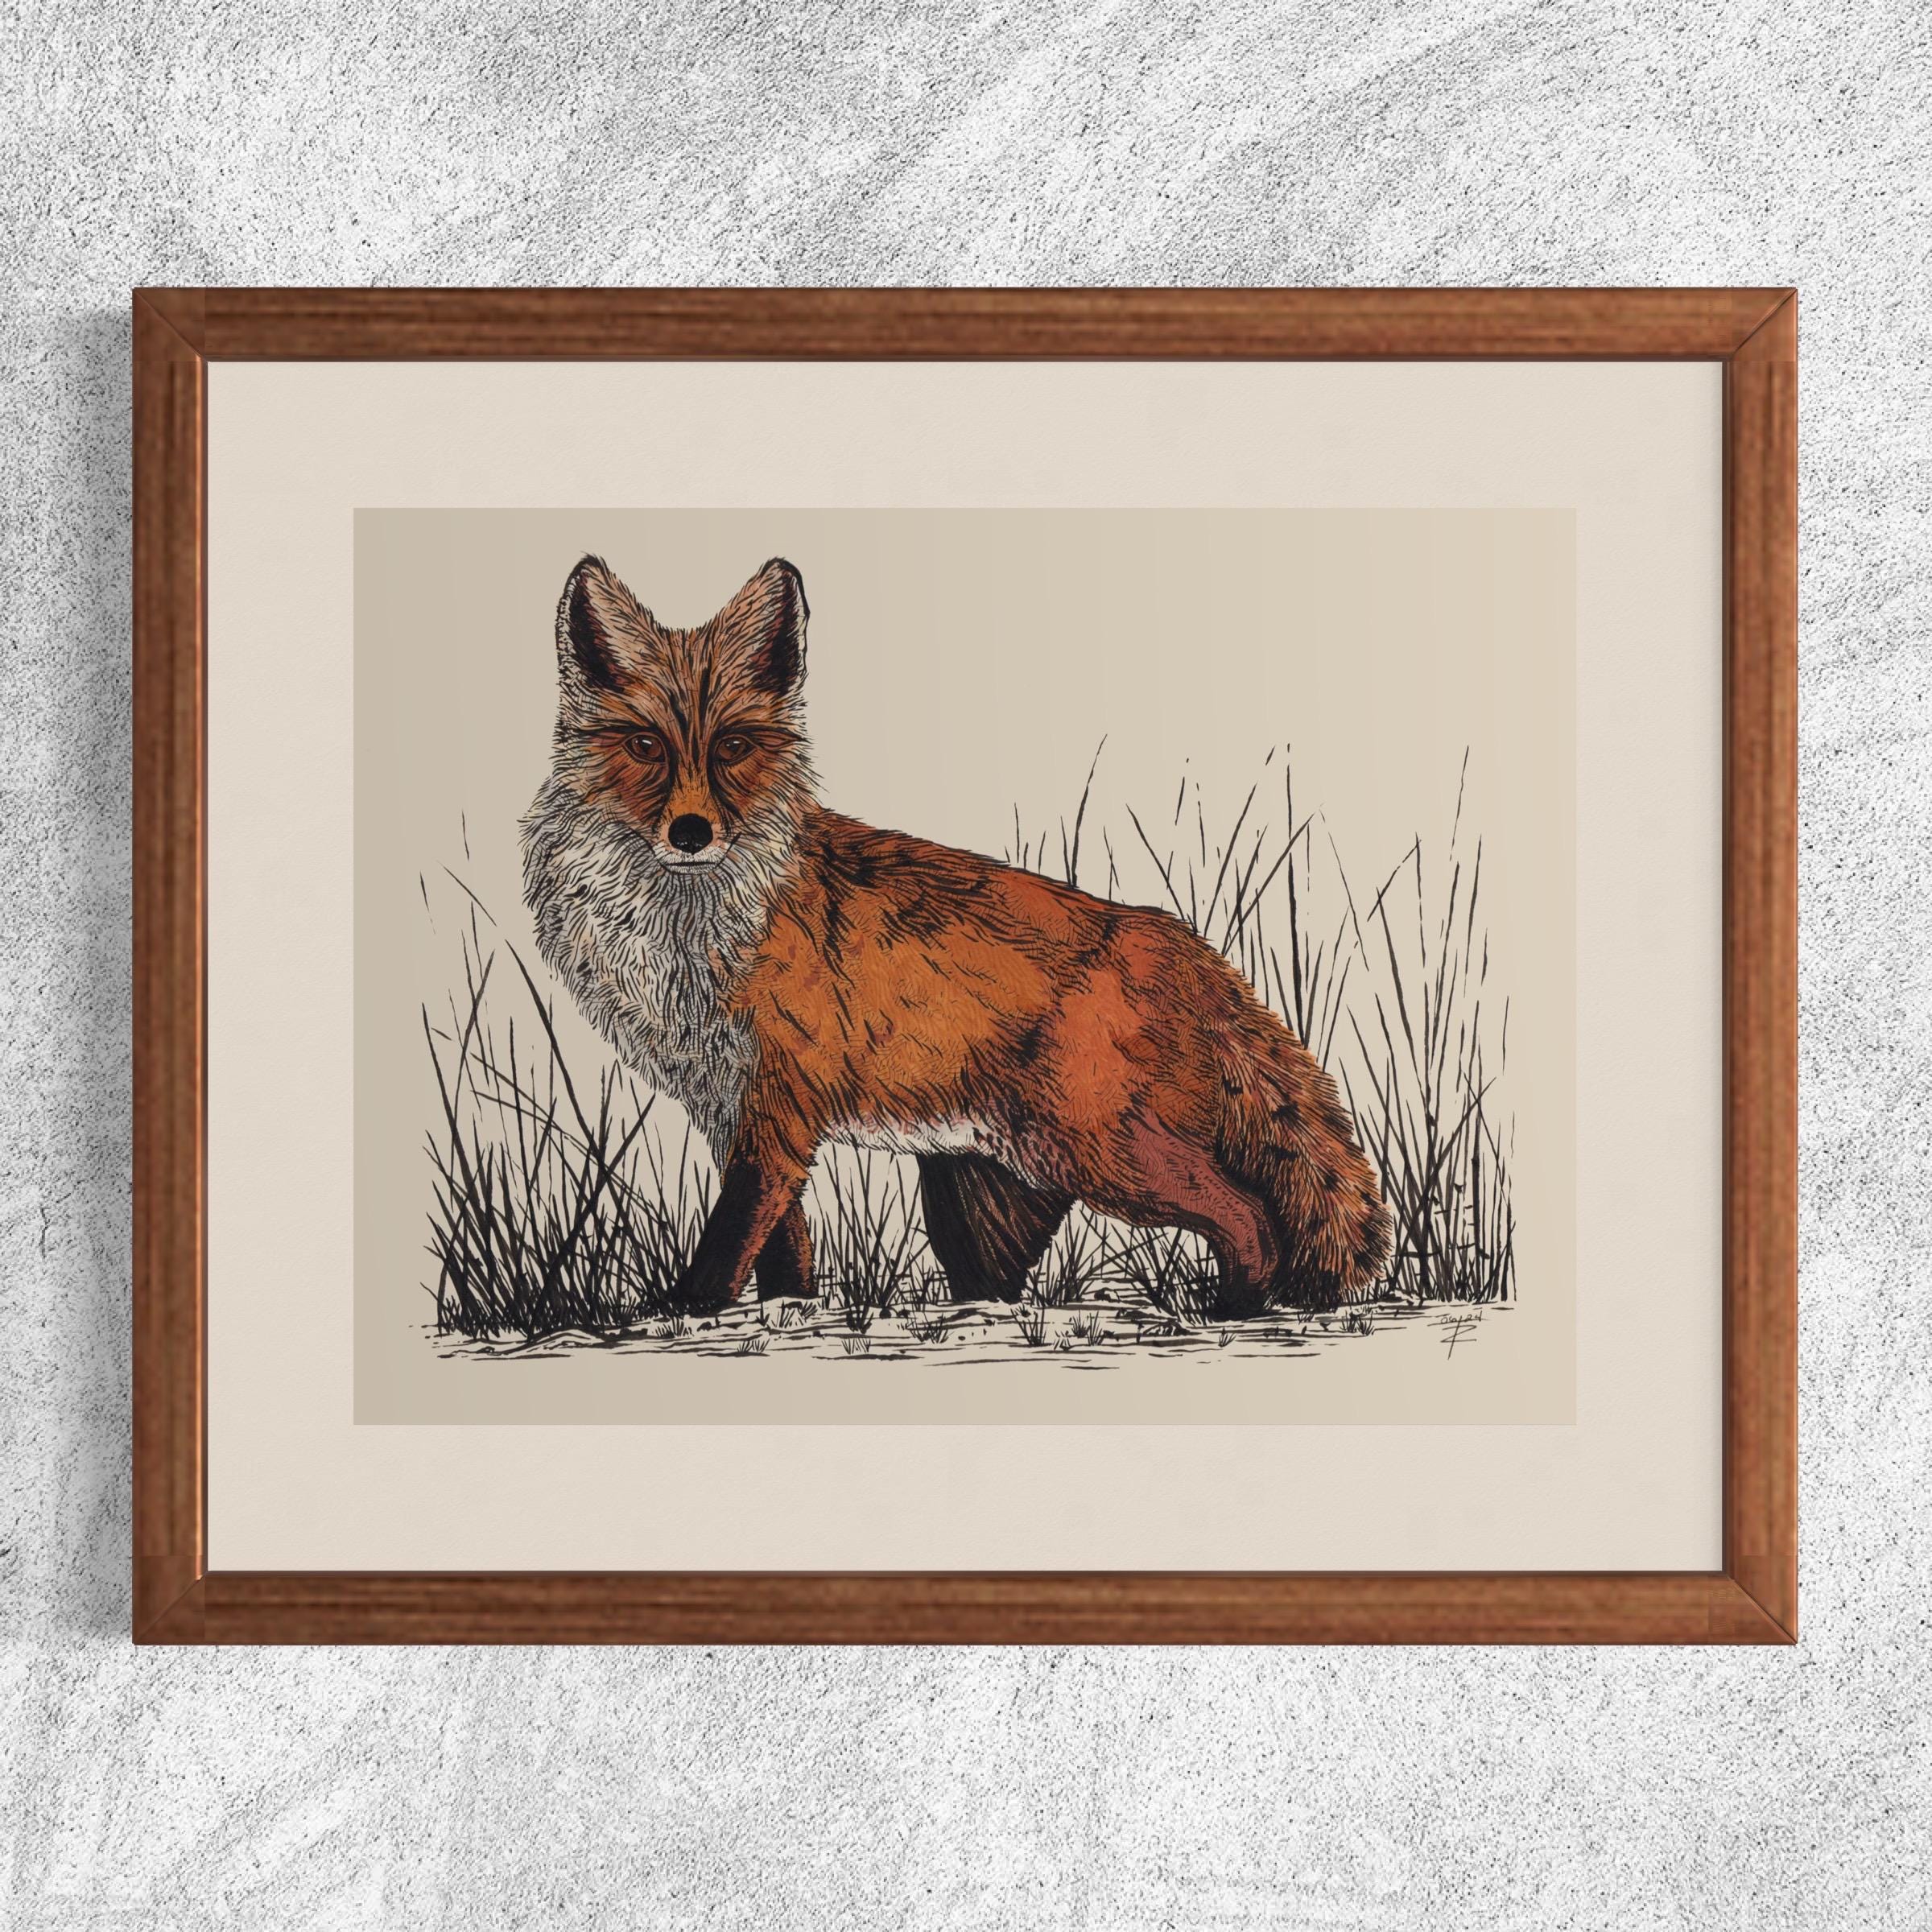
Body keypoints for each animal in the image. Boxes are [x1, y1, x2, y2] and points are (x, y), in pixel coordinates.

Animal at [521, 555, 1391, 1319]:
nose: (693, 832)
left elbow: (730, 1237)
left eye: (732, 746)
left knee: (1249, 1217)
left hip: (1106, 1153)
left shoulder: (779, 1102)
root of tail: (1176, 939)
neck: (683, 935)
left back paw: (1235, 1310)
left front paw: (685, 1310)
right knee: (1008, 1278)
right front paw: (784, 1312)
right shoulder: (730, 1105)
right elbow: (782, 1246)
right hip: (994, 1187)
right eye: (645, 747)